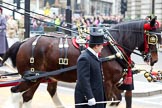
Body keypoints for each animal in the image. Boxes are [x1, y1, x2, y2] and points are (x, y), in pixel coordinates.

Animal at [1, 17, 161, 107]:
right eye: (154, 37)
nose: (155, 59)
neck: (111, 46)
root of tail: (23, 42)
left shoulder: (113, 84)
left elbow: (116, 100)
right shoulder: (107, 82)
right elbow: (108, 100)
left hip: (38, 78)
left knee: (27, 97)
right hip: (31, 78)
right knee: (15, 92)